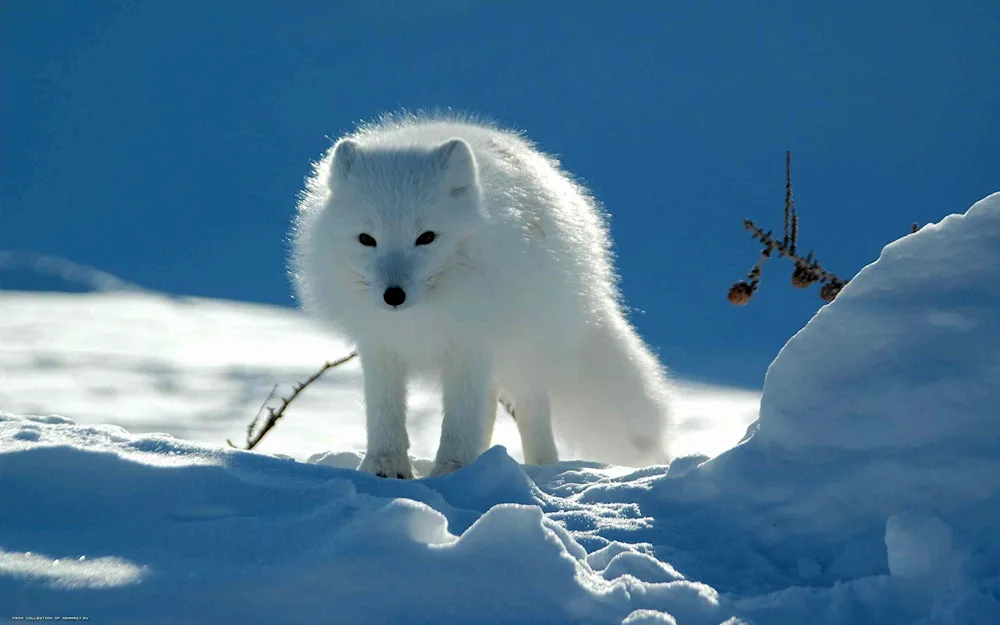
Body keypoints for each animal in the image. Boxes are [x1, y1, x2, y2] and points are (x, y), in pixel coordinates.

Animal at [292, 114, 676, 478]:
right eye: (366, 239)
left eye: (426, 237)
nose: (393, 296)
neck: (422, 317)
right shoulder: (380, 346)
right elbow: (384, 412)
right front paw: (384, 467)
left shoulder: (470, 343)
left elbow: (460, 419)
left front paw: (452, 469)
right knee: (489, 407)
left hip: (526, 350)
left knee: (531, 409)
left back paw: (541, 468)